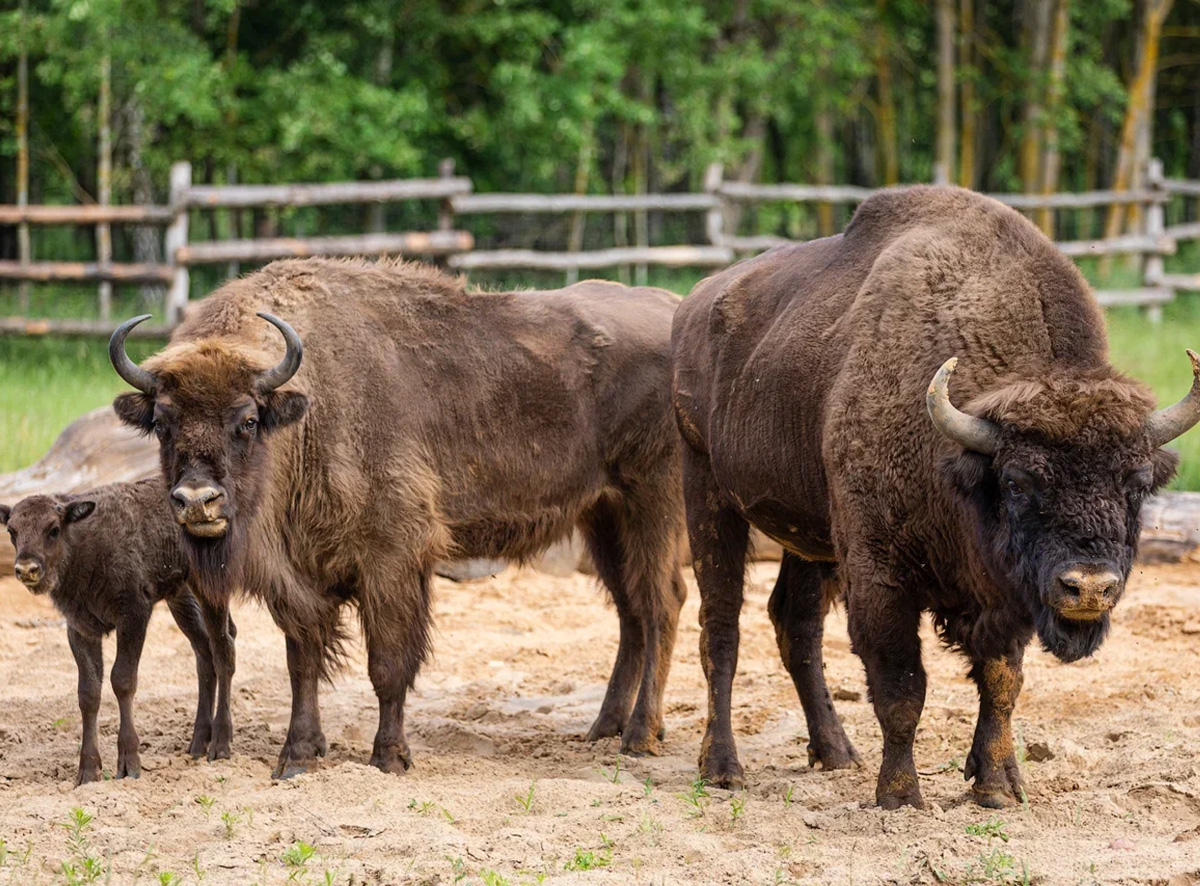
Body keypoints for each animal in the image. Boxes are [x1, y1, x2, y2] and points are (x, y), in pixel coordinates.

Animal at [0, 480, 234, 782]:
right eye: (12, 531)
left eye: (53, 529)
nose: (27, 569)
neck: (82, 542)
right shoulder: (80, 628)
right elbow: (88, 693)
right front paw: (88, 771)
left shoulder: (133, 616)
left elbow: (122, 680)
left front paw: (129, 763)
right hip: (181, 598)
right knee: (204, 653)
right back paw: (197, 743)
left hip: (211, 592)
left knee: (223, 650)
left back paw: (220, 745)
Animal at [108, 260, 691, 773]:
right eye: (162, 423)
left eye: (248, 420)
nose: (197, 501)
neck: (307, 412)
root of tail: (676, 309)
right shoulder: (298, 578)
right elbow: (302, 663)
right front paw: (297, 756)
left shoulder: (391, 559)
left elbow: (387, 664)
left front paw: (389, 757)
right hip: (604, 513)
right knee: (631, 611)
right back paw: (604, 727)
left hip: (653, 499)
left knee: (661, 602)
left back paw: (640, 736)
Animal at [672, 186, 1195, 806]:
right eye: (1017, 481)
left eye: (1136, 484)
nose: (1088, 588)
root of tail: (696, 301)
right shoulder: (880, 575)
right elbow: (902, 688)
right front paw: (900, 795)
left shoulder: (1002, 595)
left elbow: (1001, 681)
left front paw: (997, 785)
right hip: (707, 488)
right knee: (721, 628)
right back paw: (721, 767)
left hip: (810, 532)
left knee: (795, 624)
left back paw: (836, 752)